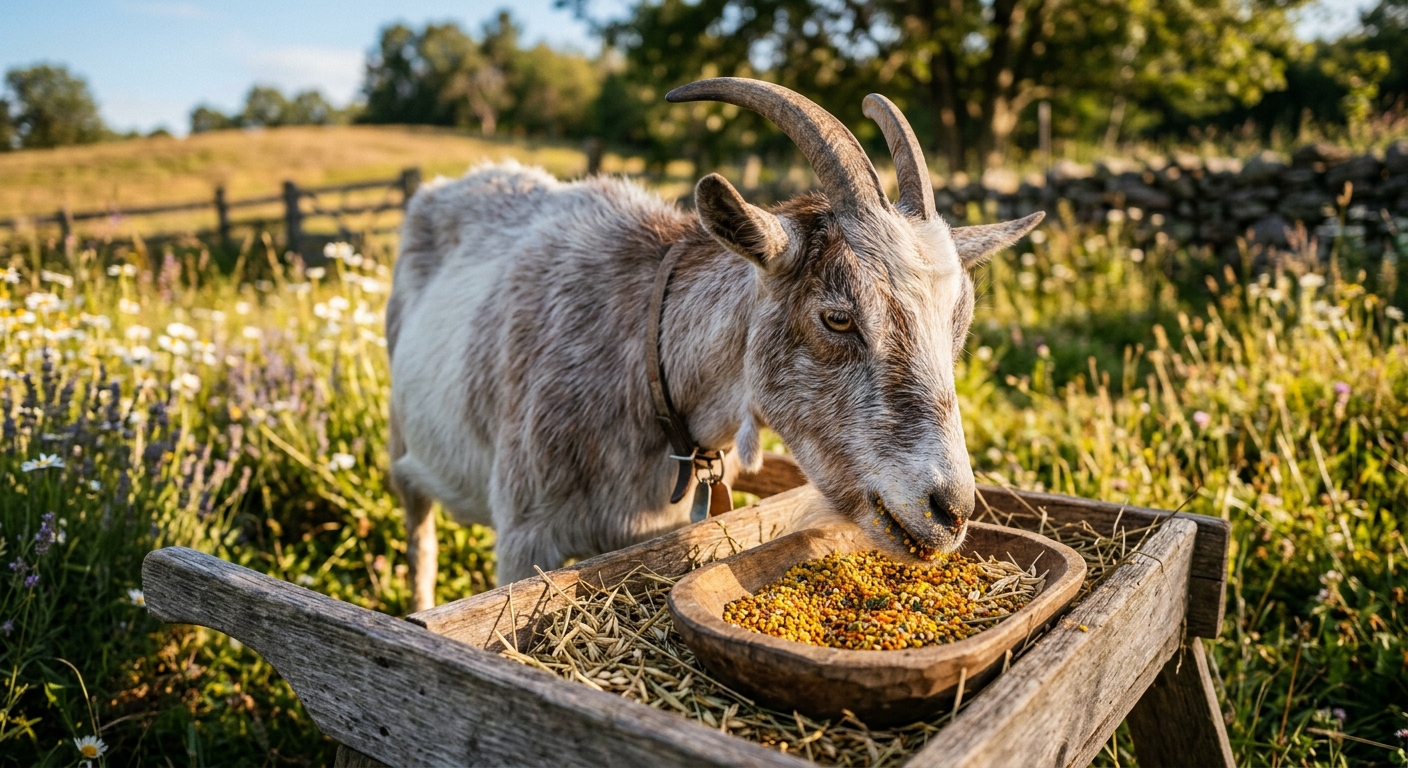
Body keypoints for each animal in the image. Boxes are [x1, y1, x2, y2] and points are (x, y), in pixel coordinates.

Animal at [387, 78, 1042, 611]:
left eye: (958, 322)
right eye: (837, 318)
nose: (951, 511)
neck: (642, 361)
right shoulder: (524, 537)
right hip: (402, 438)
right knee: (419, 533)